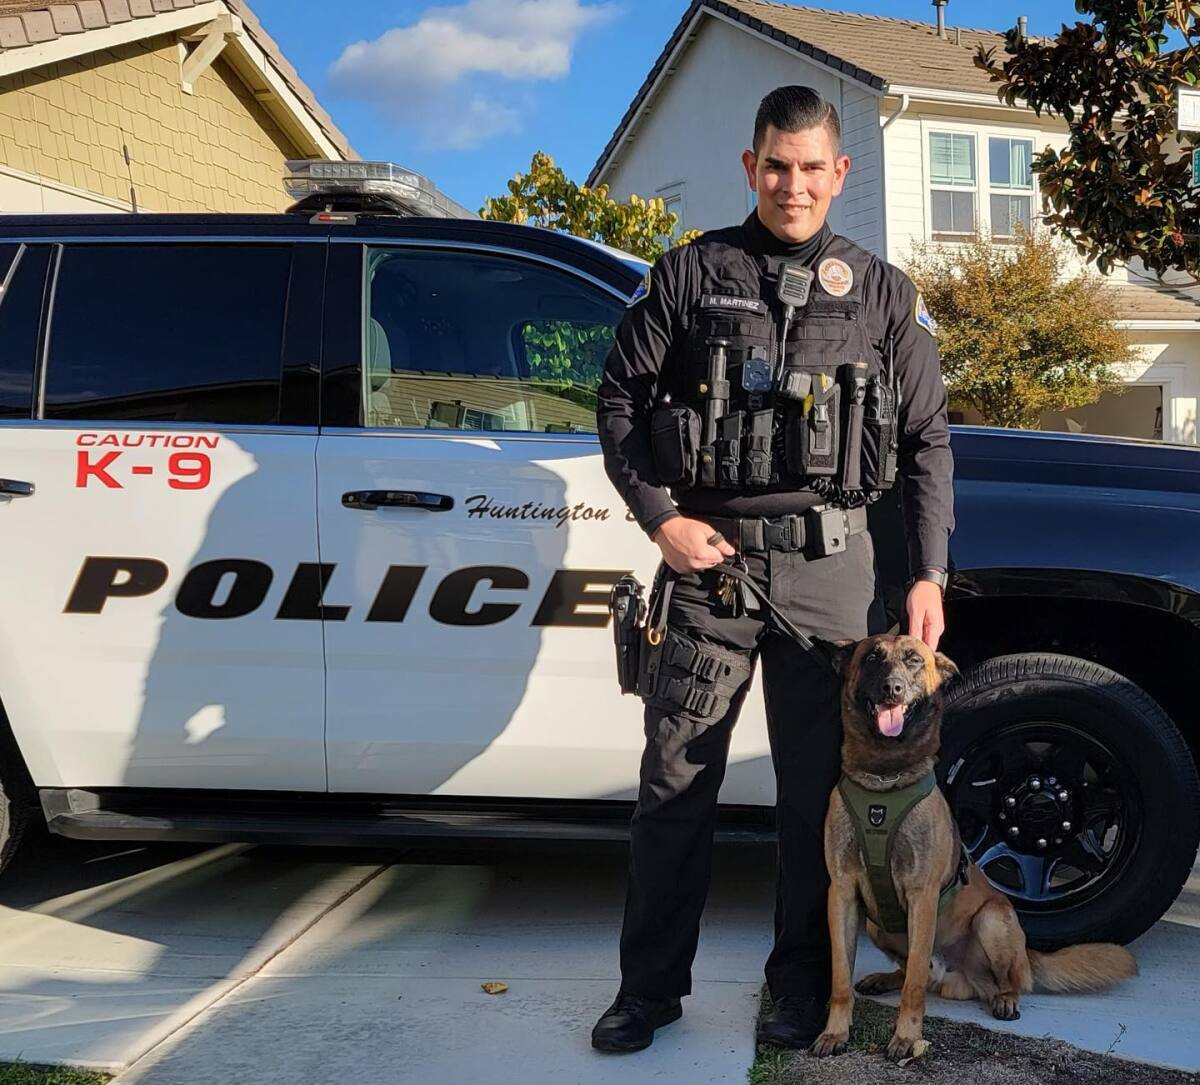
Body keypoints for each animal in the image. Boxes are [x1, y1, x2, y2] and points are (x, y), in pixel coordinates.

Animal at [811, 633, 1137, 1065]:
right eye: (873, 659)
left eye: (914, 661)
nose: (892, 689)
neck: (884, 782)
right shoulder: (843, 894)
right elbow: (840, 980)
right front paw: (835, 1032)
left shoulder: (922, 898)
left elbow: (914, 986)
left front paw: (907, 1038)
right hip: (878, 926)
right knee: (912, 971)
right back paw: (886, 977)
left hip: (993, 918)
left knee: (999, 980)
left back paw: (1005, 998)